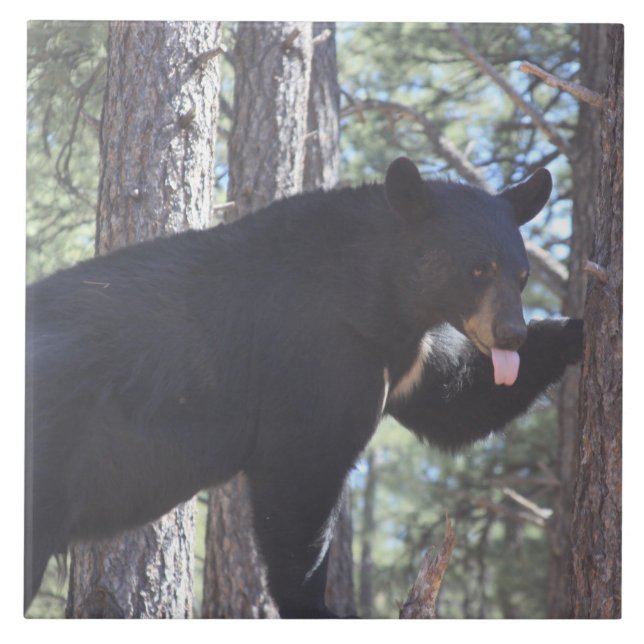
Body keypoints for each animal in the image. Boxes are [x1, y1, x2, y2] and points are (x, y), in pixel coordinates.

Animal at [25, 157, 582, 618]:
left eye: (522, 275)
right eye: (477, 268)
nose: (511, 333)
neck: (381, 301)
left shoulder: (407, 359)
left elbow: (456, 402)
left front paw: (575, 328)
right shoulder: (315, 352)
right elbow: (301, 474)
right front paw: (316, 607)